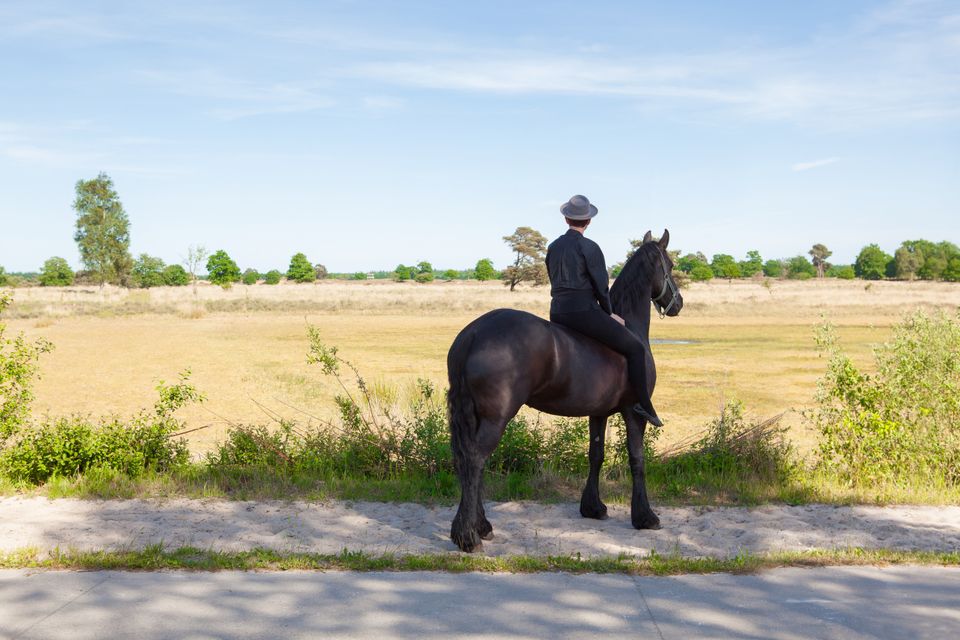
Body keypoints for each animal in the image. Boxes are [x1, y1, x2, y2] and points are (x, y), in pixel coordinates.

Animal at [446, 229, 684, 552]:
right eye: (669, 265)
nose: (678, 303)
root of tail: (473, 333)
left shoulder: (599, 413)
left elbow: (596, 455)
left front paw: (593, 507)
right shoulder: (633, 412)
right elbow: (637, 459)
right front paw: (645, 516)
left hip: (474, 416)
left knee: (467, 462)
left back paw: (479, 527)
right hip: (496, 418)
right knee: (475, 461)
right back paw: (469, 536)